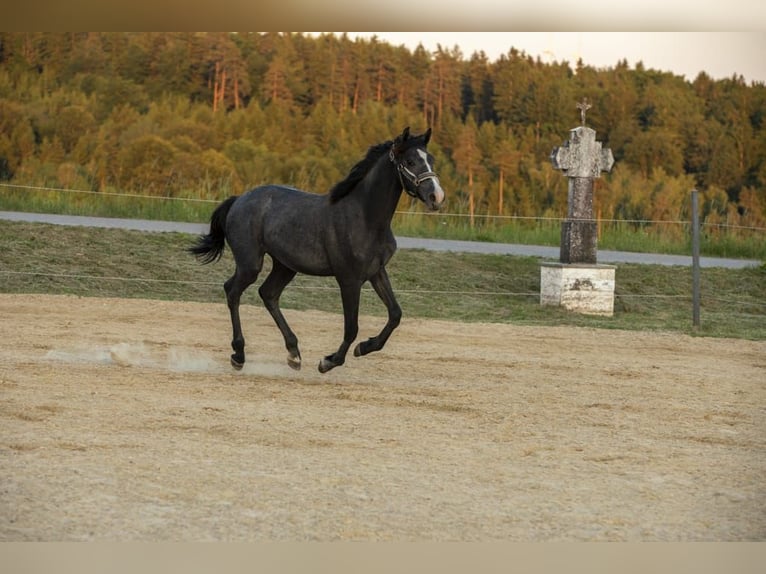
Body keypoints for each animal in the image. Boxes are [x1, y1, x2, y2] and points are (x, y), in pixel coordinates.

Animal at [190, 127, 445, 373]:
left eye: (430, 159)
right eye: (410, 161)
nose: (437, 197)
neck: (364, 217)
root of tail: (238, 200)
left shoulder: (376, 272)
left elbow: (395, 314)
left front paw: (364, 347)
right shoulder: (349, 279)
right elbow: (351, 327)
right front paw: (329, 361)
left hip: (285, 266)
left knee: (268, 294)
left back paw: (293, 354)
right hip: (250, 263)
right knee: (233, 291)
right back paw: (239, 355)